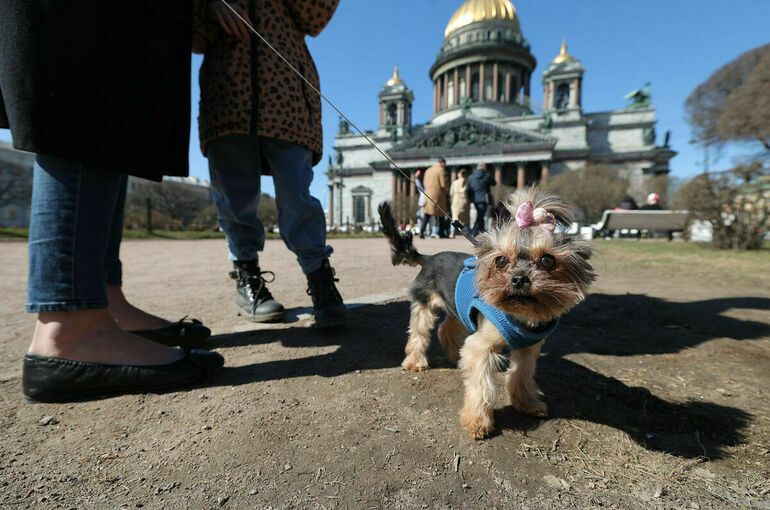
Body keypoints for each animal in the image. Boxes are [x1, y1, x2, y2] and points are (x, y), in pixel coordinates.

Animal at [380, 187, 592, 438]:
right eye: (500, 260)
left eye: (547, 259)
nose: (519, 279)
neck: (523, 316)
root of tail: (428, 258)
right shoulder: (481, 346)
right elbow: (481, 385)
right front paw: (477, 422)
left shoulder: (528, 348)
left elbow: (521, 375)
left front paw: (528, 404)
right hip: (425, 302)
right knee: (420, 331)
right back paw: (415, 362)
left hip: (456, 308)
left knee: (445, 328)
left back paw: (455, 356)